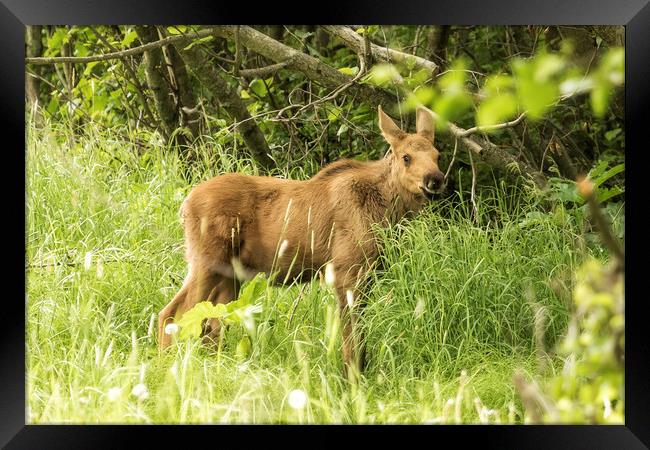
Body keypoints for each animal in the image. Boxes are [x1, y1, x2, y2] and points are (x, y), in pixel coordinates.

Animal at [156, 105, 446, 372]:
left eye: (437, 155)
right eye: (406, 157)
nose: (435, 179)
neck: (388, 212)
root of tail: (184, 205)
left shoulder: (369, 271)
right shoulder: (346, 268)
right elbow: (351, 336)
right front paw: (352, 378)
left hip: (230, 275)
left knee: (212, 325)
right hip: (206, 261)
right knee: (171, 314)